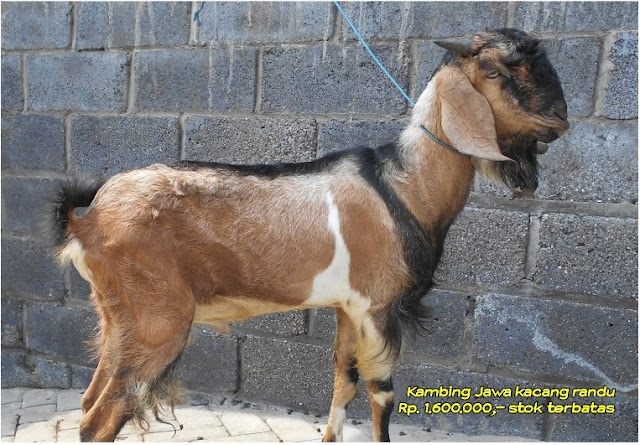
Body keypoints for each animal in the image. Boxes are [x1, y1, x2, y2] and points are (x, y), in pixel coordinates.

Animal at [50, 28, 568, 440]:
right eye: (494, 71)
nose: (559, 120)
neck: (404, 185)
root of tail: (87, 219)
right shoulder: (377, 305)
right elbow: (381, 393)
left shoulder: (347, 307)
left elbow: (344, 379)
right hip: (158, 318)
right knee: (103, 416)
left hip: (117, 316)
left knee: (89, 401)